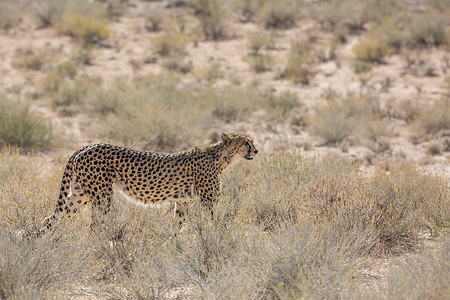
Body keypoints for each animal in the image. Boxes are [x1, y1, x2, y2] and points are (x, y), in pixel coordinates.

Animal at [42, 132, 260, 233]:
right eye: (245, 143)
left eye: (252, 141)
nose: (257, 151)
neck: (221, 158)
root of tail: (85, 147)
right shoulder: (209, 201)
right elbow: (214, 223)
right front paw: (216, 238)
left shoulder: (183, 202)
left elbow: (177, 225)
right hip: (102, 196)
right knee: (94, 225)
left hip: (81, 194)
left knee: (52, 218)